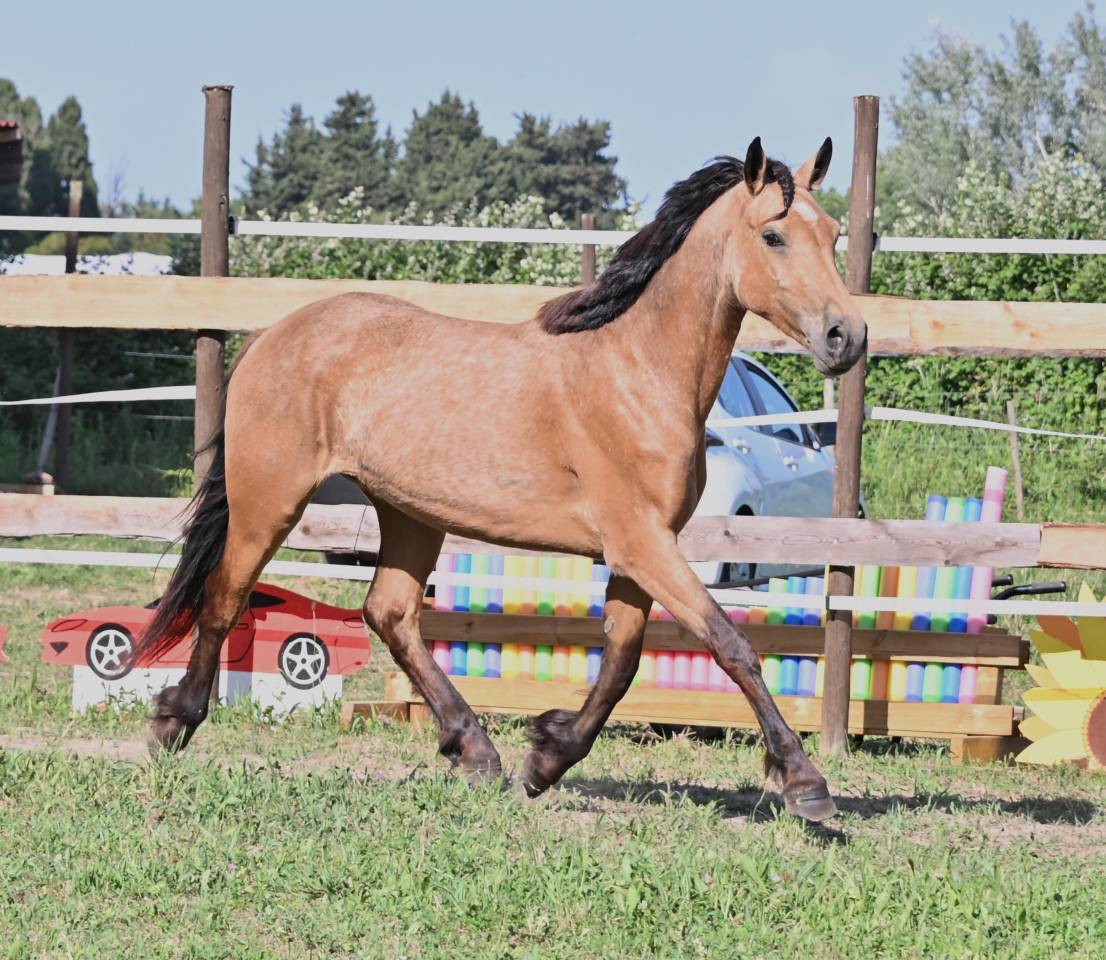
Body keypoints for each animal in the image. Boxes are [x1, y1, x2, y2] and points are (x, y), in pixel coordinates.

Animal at [134, 136, 865, 822]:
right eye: (773, 235)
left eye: (833, 235)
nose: (846, 336)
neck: (640, 371)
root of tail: (271, 335)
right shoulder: (641, 544)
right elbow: (731, 644)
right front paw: (805, 782)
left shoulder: (641, 552)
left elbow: (623, 661)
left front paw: (545, 760)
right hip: (270, 500)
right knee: (225, 597)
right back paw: (172, 724)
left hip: (408, 513)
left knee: (389, 613)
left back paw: (474, 751)